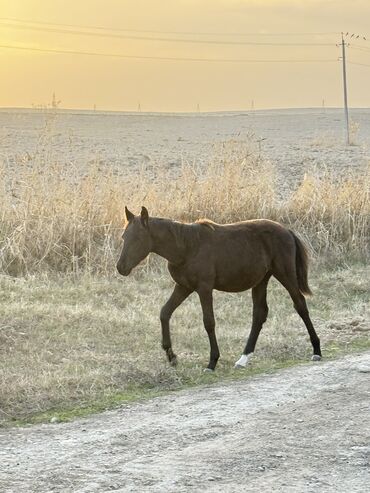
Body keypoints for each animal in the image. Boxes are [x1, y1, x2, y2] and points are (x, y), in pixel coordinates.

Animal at [116, 206, 320, 370]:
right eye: (124, 236)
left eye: (138, 238)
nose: (121, 267)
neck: (186, 247)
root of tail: (286, 230)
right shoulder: (183, 286)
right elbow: (165, 312)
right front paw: (171, 356)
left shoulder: (204, 288)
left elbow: (209, 322)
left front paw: (212, 362)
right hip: (261, 280)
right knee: (259, 314)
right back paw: (243, 359)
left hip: (285, 274)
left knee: (300, 304)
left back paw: (316, 350)